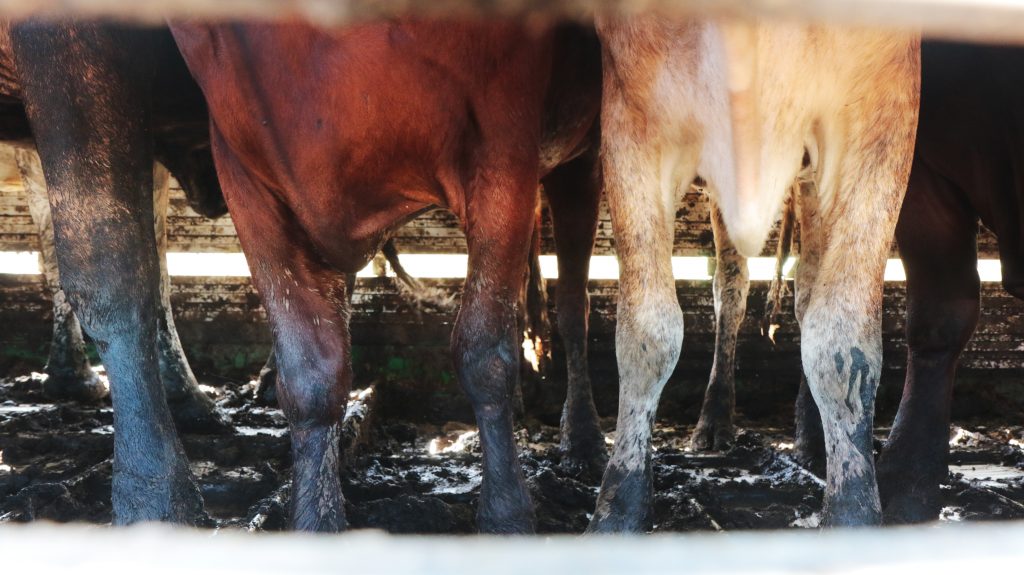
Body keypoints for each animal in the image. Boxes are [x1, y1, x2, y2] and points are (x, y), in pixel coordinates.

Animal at [166, 20, 598, 532]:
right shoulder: (242, 170)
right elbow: (311, 374)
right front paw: (315, 522)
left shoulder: (503, 145)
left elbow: (483, 355)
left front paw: (506, 517)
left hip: (582, 155)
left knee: (573, 306)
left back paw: (584, 441)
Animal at [593, 16, 921, 527]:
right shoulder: (631, 115)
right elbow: (646, 333)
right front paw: (618, 505)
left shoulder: (884, 108)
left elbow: (844, 343)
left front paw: (853, 511)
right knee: (730, 288)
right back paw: (715, 421)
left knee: (808, 288)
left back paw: (811, 440)